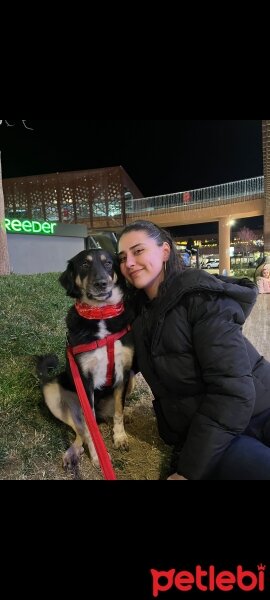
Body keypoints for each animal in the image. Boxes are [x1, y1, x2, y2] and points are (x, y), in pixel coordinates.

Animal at [37, 248, 134, 468]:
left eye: (108, 263)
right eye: (84, 264)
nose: (101, 283)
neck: (100, 314)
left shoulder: (124, 372)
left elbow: (119, 411)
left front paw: (120, 437)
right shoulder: (85, 380)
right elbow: (90, 430)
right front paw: (98, 456)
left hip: (131, 379)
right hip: (52, 392)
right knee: (80, 429)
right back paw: (73, 452)